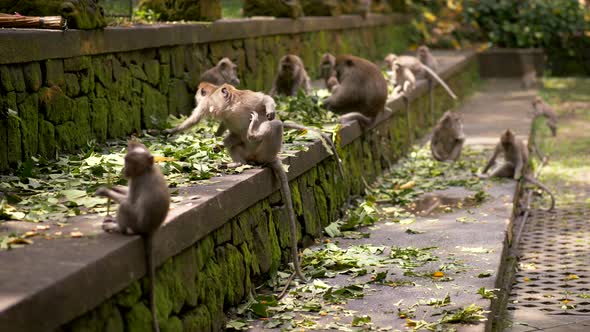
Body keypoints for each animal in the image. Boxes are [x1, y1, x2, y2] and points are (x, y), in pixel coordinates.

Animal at [95, 141, 169, 332]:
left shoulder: (137, 182)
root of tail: (151, 229)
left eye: (130, 162)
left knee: (125, 207)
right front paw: (113, 185)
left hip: (136, 223)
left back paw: (116, 227)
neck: (147, 169)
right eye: (125, 160)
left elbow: (128, 200)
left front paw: (105, 191)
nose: (124, 170)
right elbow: (123, 191)